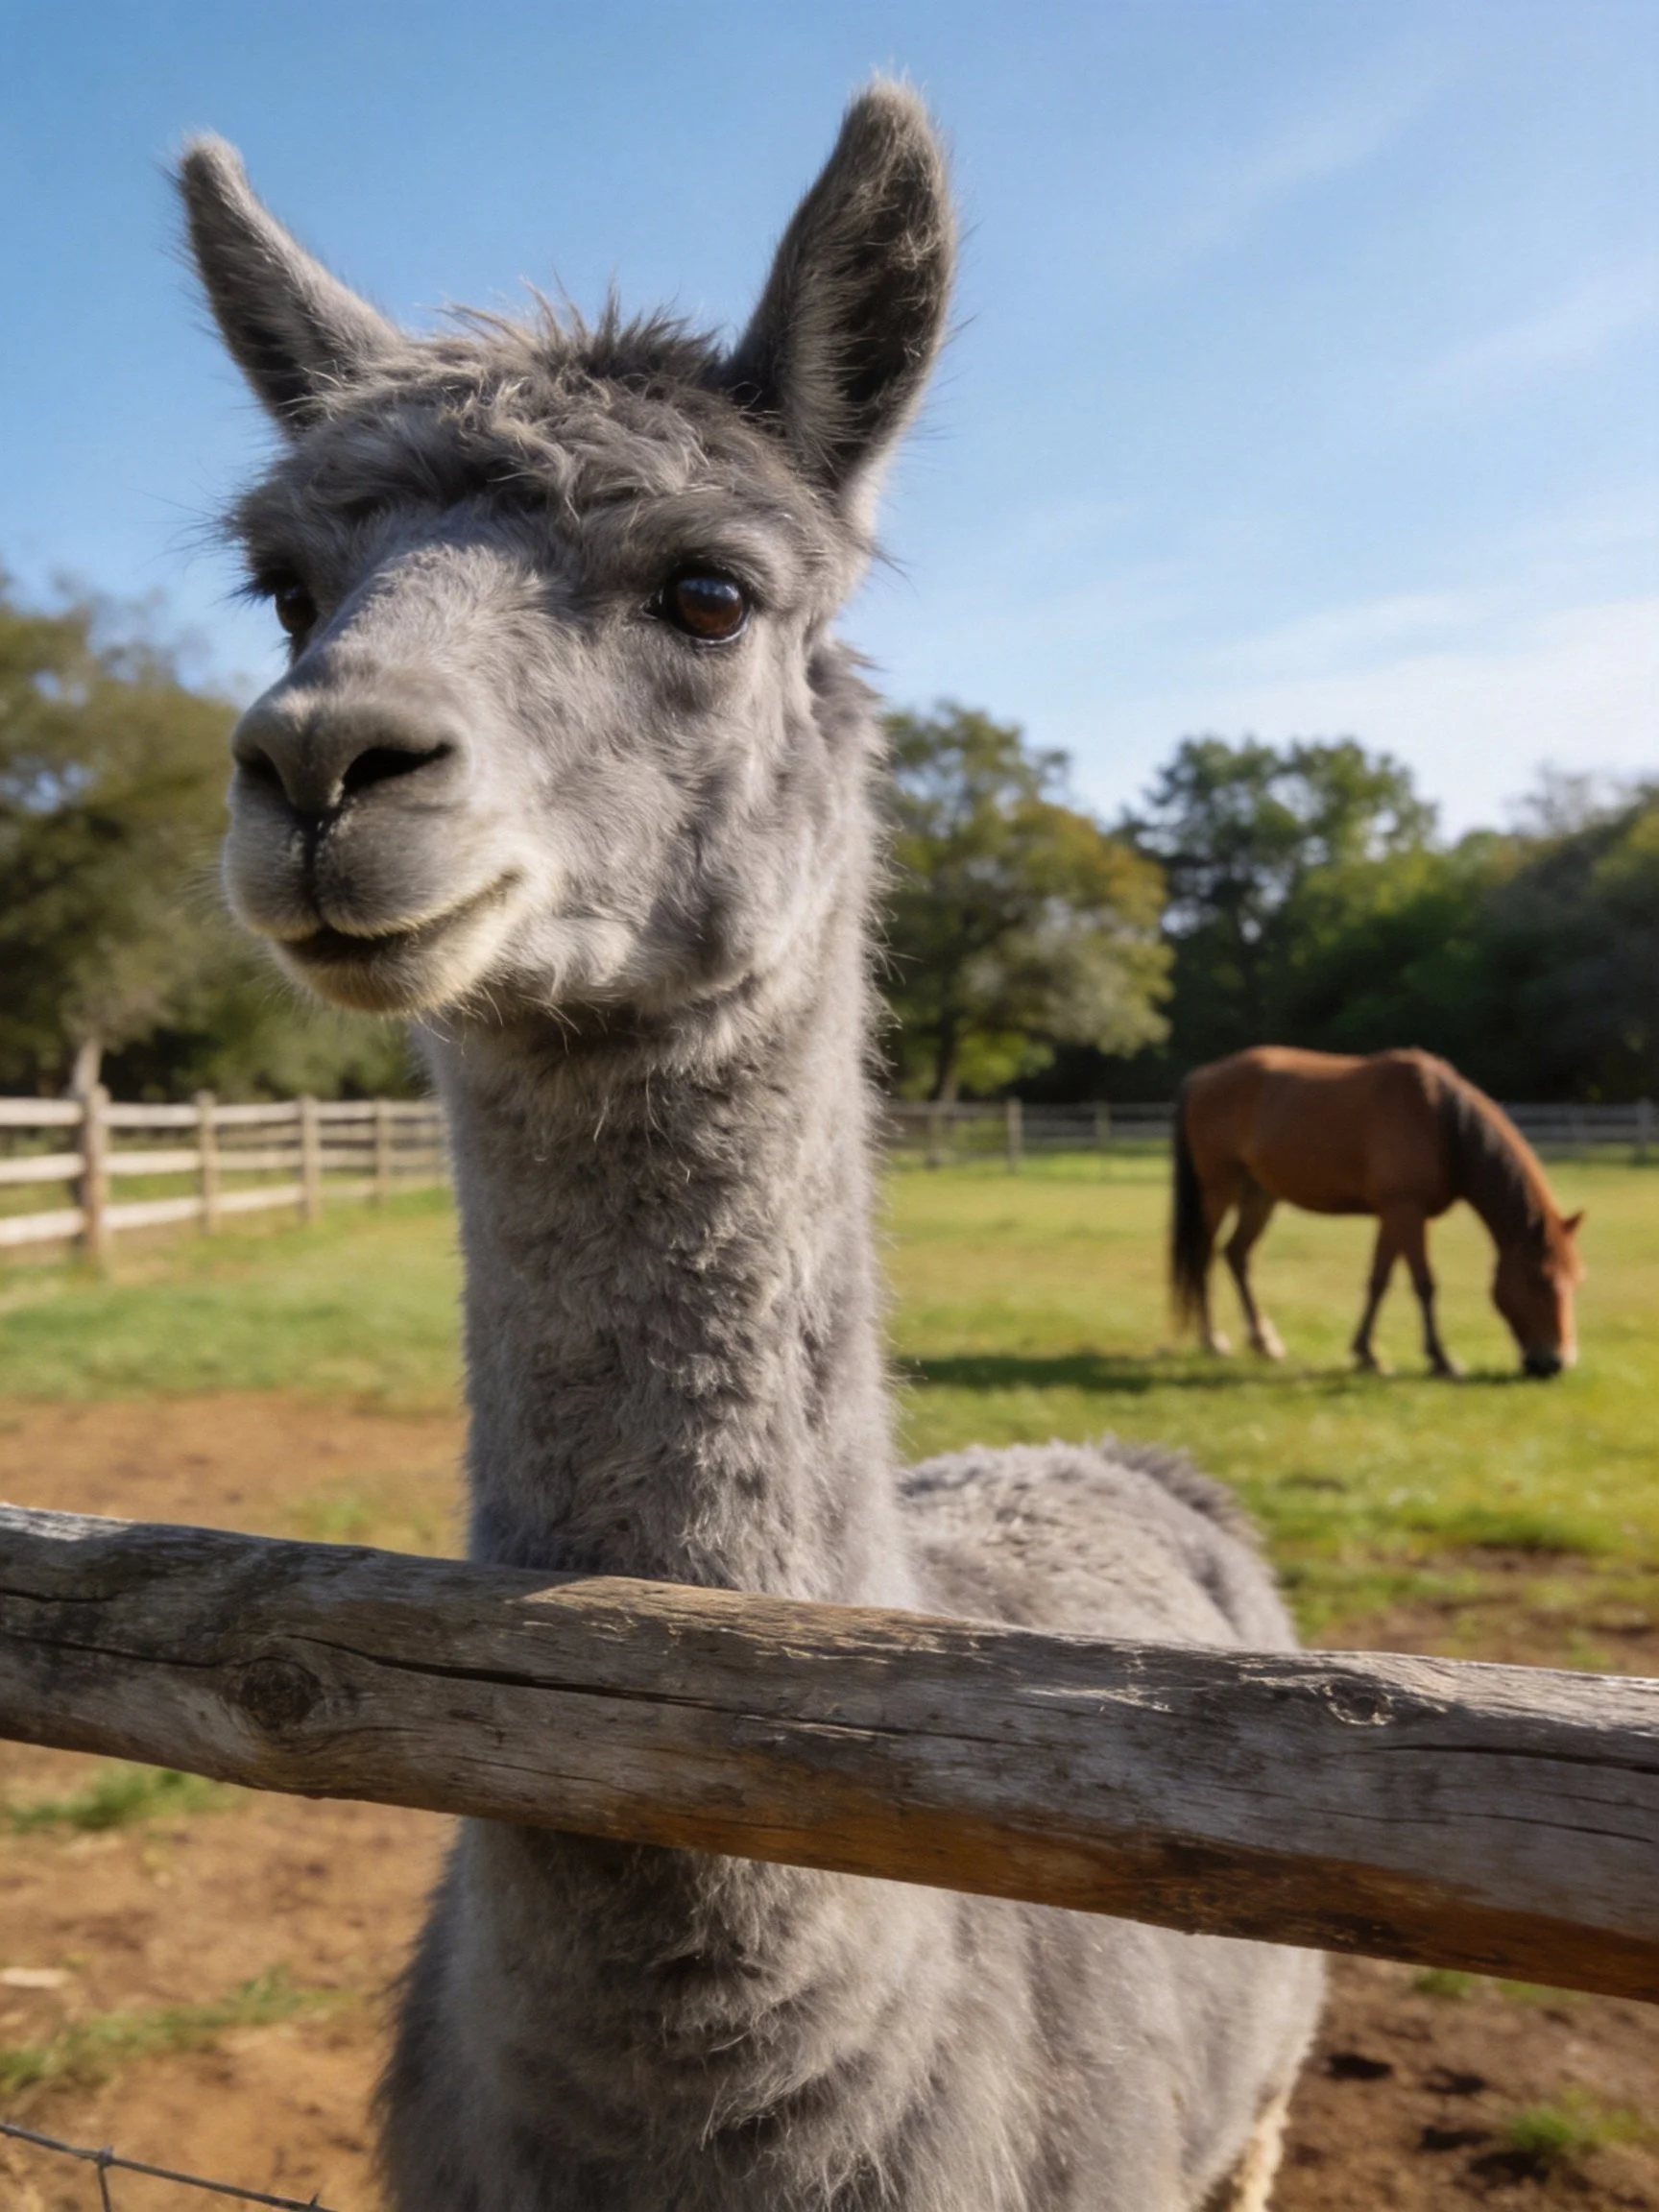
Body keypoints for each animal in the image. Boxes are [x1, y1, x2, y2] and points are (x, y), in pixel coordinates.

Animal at [1171, 1046, 1584, 1378]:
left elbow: (1379, 1280)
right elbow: (1424, 1284)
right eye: (1541, 1280)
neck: (1441, 1123)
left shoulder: (1395, 1214)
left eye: (1576, 1280)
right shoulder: (1405, 1210)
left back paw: (1264, 1341)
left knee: (1236, 1255)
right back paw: (1213, 1340)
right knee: (1204, 1255)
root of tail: (1202, 1077)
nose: (1556, 1363)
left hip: (1260, 1195)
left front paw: (1366, 1353)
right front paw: (1441, 1359)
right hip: (1218, 1191)